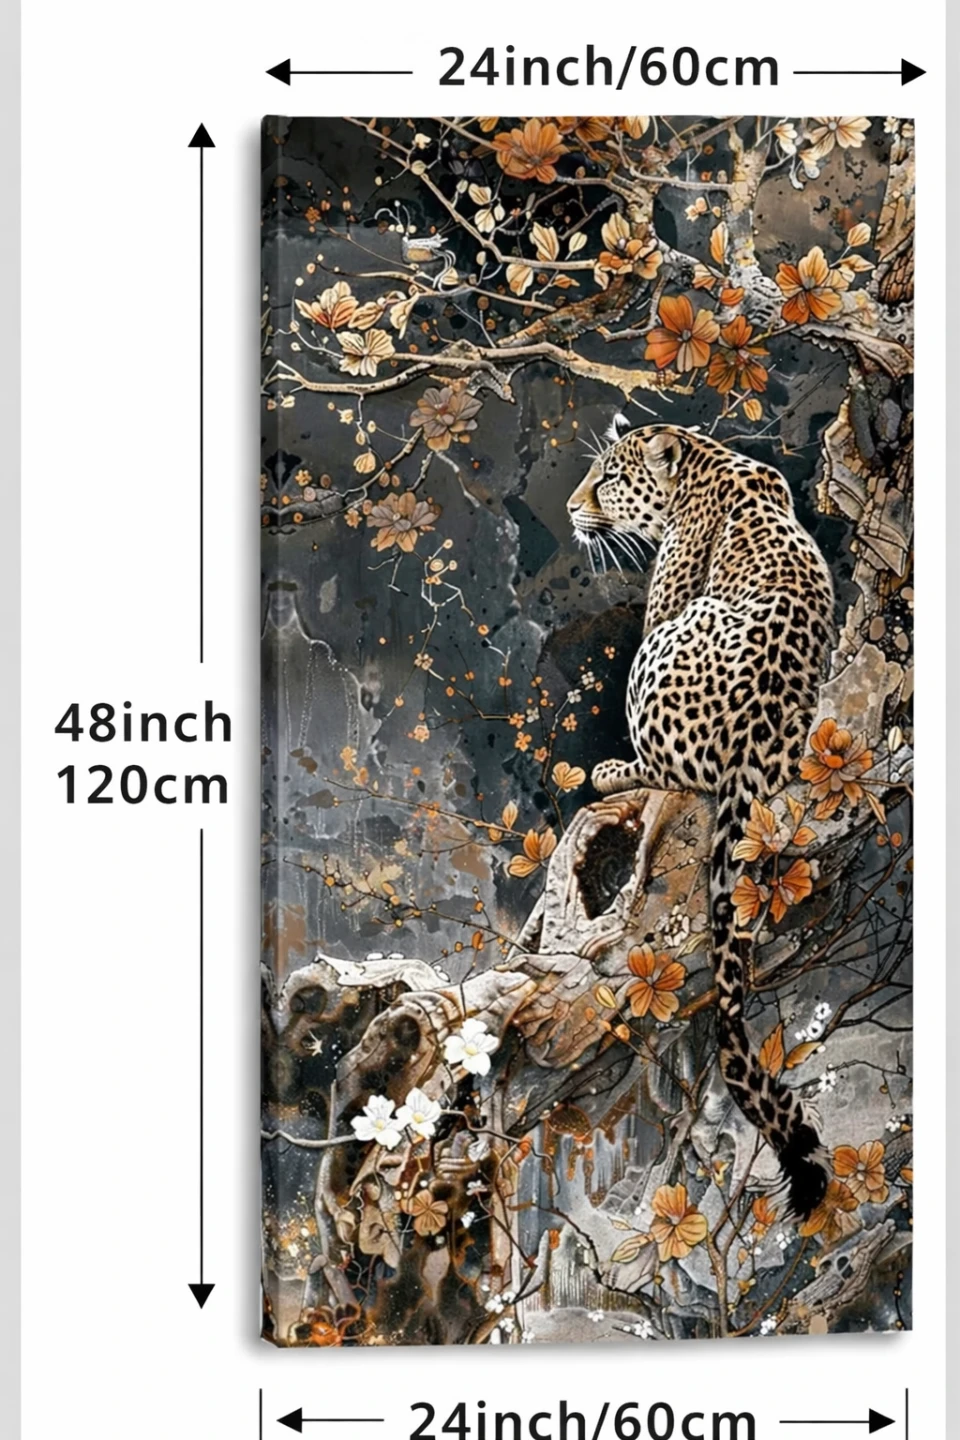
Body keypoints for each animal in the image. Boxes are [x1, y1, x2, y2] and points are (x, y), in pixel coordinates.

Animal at [567, 423, 835, 1220]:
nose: (572, 508)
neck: (702, 459)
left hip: (655, 655)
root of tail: (748, 740)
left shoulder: (667, 596)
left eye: (608, 478)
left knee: (667, 772)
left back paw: (610, 773)